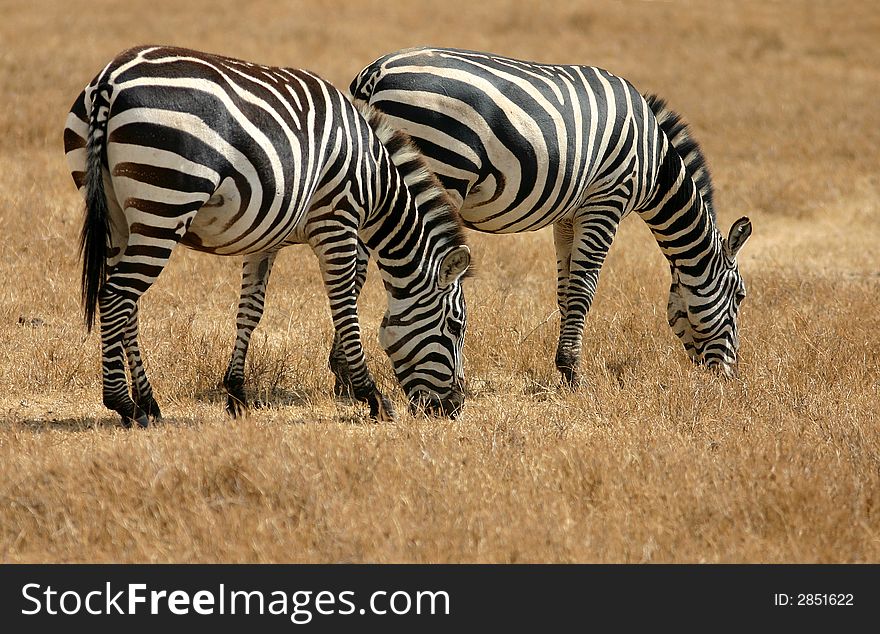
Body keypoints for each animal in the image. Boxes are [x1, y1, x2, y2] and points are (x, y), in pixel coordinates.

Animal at [62, 47, 470, 428]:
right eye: (455, 326)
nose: (454, 408)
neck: (374, 179)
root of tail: (110, 80)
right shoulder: (337, 222)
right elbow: (345, 307)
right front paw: (371, 396)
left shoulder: (266, 240)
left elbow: (250, 311)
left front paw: (236, 394)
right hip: (165, 203)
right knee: (115, 297)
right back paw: (124, 404)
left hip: (119, 216)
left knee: (127, 303)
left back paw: (148, 403)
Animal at [342, 45, 748, 386]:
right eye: (740, 296)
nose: (729, 376)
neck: (656, 161)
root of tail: (375, 73)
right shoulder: (607, 200)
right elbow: (584, 289)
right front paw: (573, 373)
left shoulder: (568, 216)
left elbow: (566, 291)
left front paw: (563, 365)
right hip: (440, 166)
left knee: (357, 267)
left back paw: (344, 375)